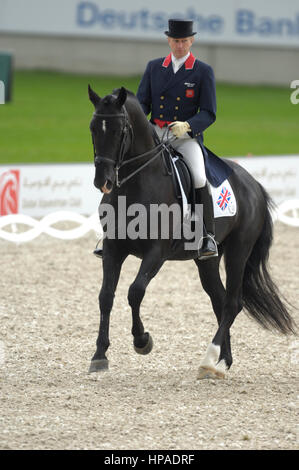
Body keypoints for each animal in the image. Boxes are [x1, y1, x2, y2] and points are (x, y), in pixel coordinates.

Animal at [86, 84, 296, 378]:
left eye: (120, 130)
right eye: (94, 128)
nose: (102, 181)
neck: (136, 184)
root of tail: (253, 184)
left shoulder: (157, 252)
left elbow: (135, 291)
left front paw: (142, 341)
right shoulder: (113, 248)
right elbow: (106, 296)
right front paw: (99, 355)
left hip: (238, 252)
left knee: (232, 303)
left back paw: (209, 360)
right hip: (206, 260)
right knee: (219, 299)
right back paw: (222, 360)